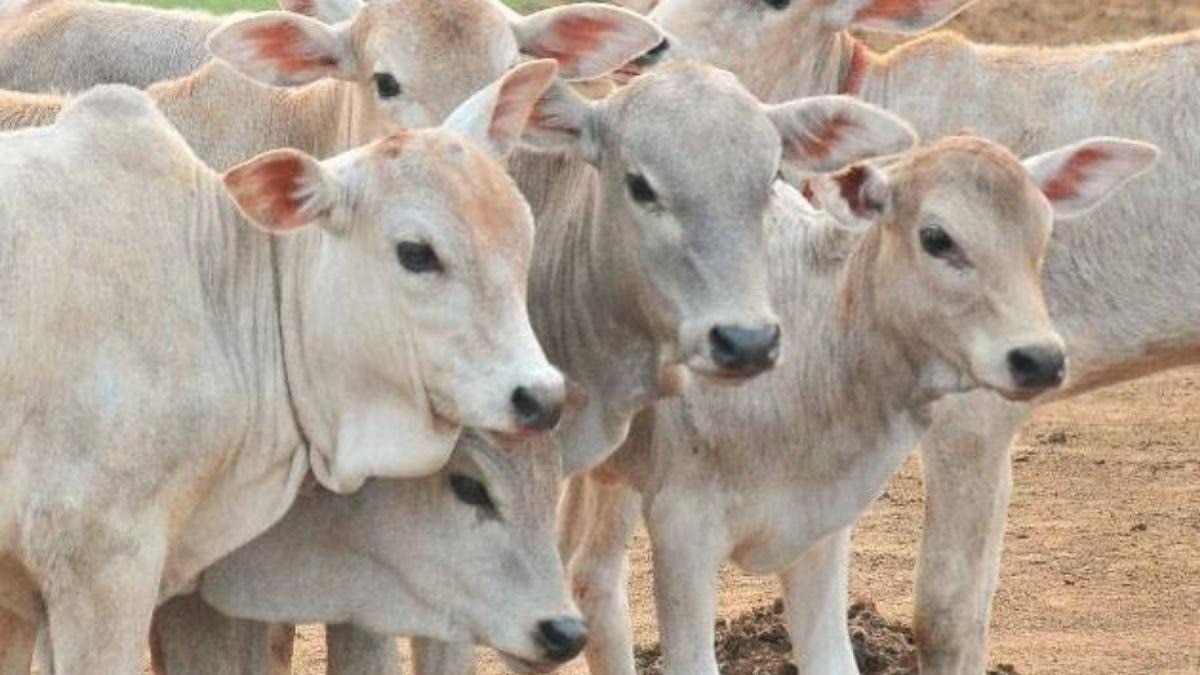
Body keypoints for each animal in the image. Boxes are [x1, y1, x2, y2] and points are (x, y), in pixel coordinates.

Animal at [555, 134, 1159, 674]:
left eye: (1043, 232)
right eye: (936, 237)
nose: (1039, 359)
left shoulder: (820, 529)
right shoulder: (682, 527)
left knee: (588, 579)